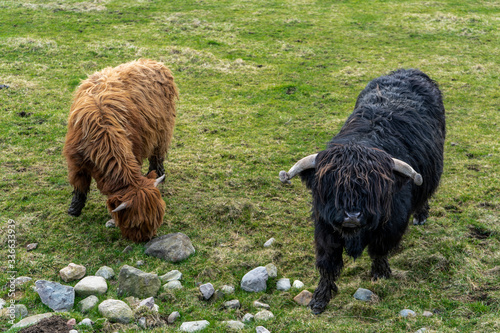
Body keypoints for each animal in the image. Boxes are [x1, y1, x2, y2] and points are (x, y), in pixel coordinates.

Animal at [63, 59, 179, 241]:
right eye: (136, 224)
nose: (146, 239)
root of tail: (155, 63)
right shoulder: (75, 161)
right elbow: (79, 185)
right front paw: (74, 209)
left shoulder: (134, 149)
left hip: (163, 129)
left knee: (157, 155)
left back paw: (158, 173)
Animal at [280, 68, 448, 312]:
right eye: (332, 187)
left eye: (372, 188)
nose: (352, 215)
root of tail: (410, 71)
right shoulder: (324, 227)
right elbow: (328, 263)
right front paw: (319, 299)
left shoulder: (391, 224)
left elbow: (379, 250)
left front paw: (380, 274)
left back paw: (421, 215)